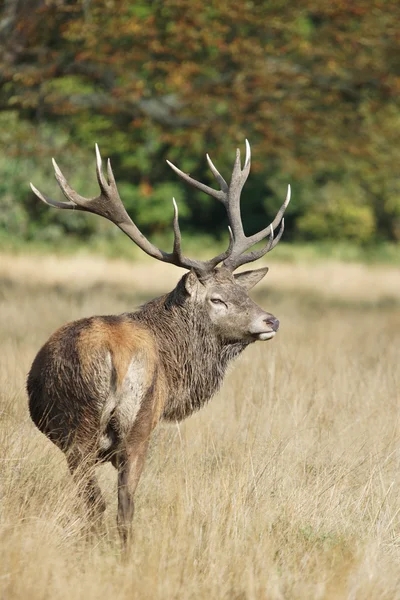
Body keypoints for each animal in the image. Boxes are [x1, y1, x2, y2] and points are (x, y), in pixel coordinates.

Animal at [28, 139, 290, 544]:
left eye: (241, 291)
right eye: (217, 299)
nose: (271, 320)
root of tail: (116, 357)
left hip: (99, 428)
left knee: (106, 504)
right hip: (125, 426)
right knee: (116, 504)